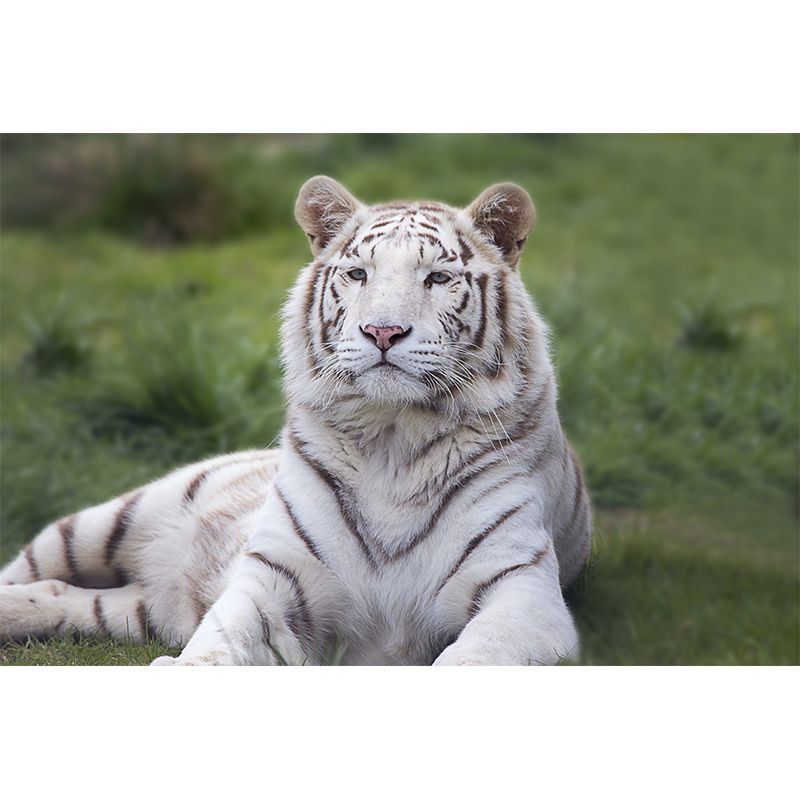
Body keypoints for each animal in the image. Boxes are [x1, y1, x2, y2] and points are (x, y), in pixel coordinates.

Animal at [0, 176, 592, 665]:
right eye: (358, 274)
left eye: (438, 277)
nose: (382, 332)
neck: (394, 438)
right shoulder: (274, 576)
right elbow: (220, 641)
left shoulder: (522, 591)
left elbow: (475, 657)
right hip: (106, 522)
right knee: (31, 570)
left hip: (135, 607)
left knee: (62, 596)